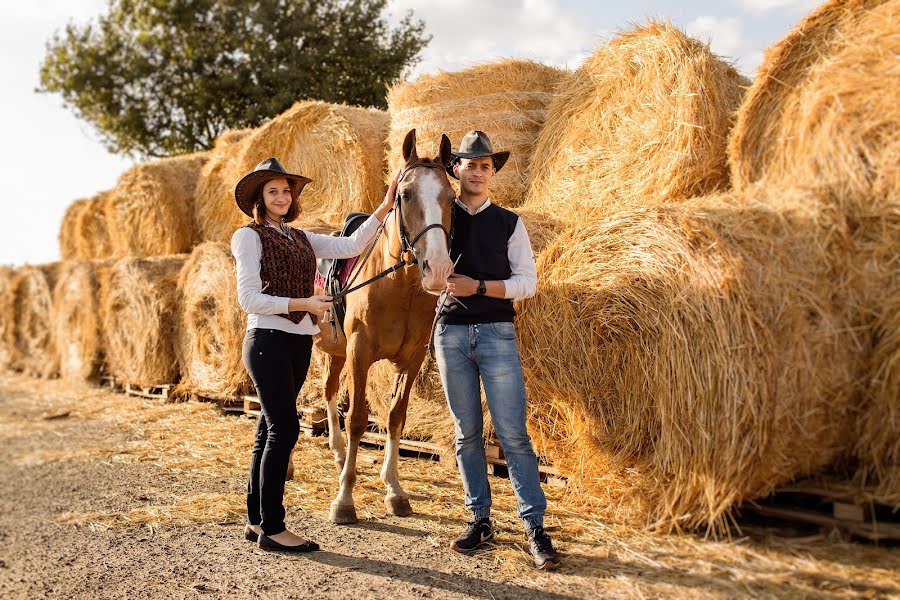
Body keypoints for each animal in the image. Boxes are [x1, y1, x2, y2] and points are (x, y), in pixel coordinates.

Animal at [316, 129, 458, 524]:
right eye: (405, 194)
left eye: (452, 198)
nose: (437, 268)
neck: (400, 287)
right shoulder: (359, 353)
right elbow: (358, 419)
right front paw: (344, 499)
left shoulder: (411, 360)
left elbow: (396, 417)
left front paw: (394, 489)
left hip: (335, 351)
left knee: (328, 390)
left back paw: (337, 453)